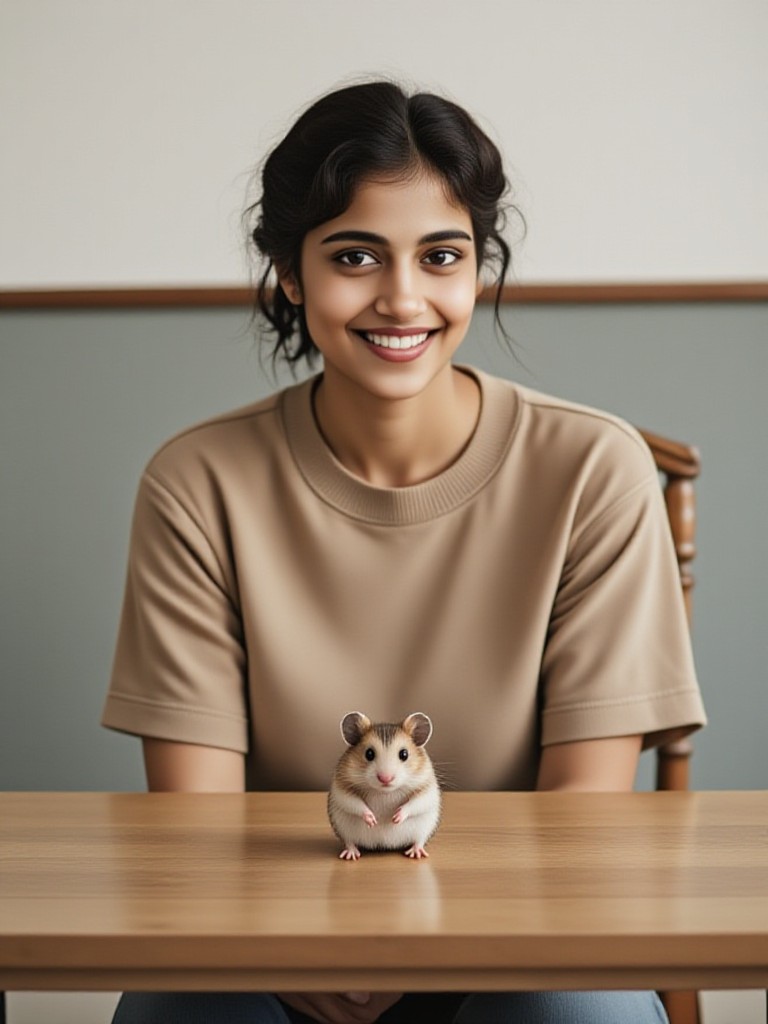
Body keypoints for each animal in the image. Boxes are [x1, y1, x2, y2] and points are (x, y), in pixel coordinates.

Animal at [328, 711, 441, 861]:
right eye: (369, 754)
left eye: (404, 754)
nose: (385, 779)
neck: (385, 792)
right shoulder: (341, 788)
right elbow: (353, 802)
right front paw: (372, 820)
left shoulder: (427, 787)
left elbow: (416, 802)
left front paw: (396, 818)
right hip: (343, 828)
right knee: (349, 842)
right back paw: (350, 855)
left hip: (425, 827)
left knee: (419, 840)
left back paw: (416, 853)